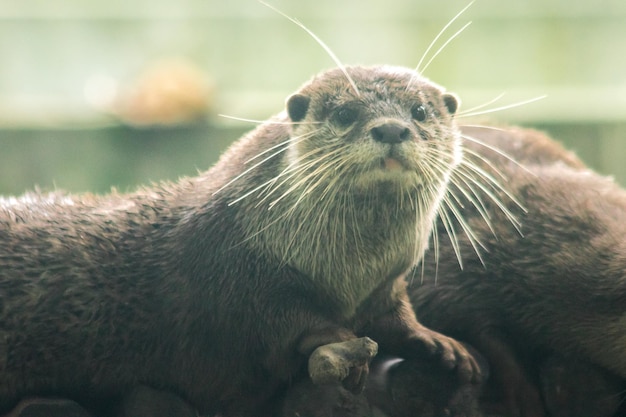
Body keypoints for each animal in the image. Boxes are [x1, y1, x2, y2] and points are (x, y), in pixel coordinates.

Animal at [0, 66, 482, 416]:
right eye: (345, 114)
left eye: (419, 111)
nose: (392, 130)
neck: (349, 272)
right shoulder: (231, 273)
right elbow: (277, 319)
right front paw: (339, 340)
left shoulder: (384, 282)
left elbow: (394, 314)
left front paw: (440, 343)